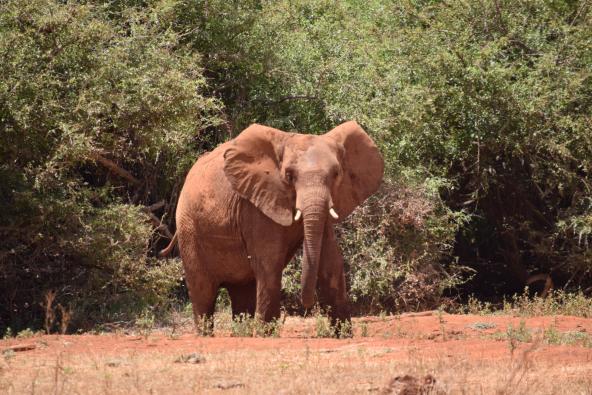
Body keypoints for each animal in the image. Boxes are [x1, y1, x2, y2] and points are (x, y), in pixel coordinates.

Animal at [161, 120, 384, 334]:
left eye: (336, 174)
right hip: (189, 230)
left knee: (242, 292)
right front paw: (265, 335)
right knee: (203, 293)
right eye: (289, 175)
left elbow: (331, 263)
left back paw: (242, 333)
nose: (307, 305)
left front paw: (343, 335)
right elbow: (270, 263)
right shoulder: (256, 205)